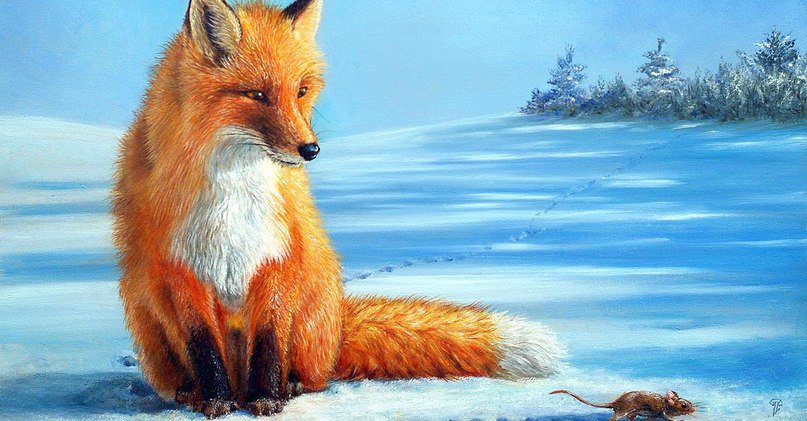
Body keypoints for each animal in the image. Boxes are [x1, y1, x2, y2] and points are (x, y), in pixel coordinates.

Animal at [112, 0, 563, 418]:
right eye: (256, 94)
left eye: (301, 90)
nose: (310, 150)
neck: (233, 188)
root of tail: (341, 326)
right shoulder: (179, 266)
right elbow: (203, 346)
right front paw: (216, 401)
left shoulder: (278, 255)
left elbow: (270, 342)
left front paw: (267, 398)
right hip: (144, 312)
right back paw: (193, 393)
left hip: (312, 310)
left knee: (316, 375)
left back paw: (290, 385)